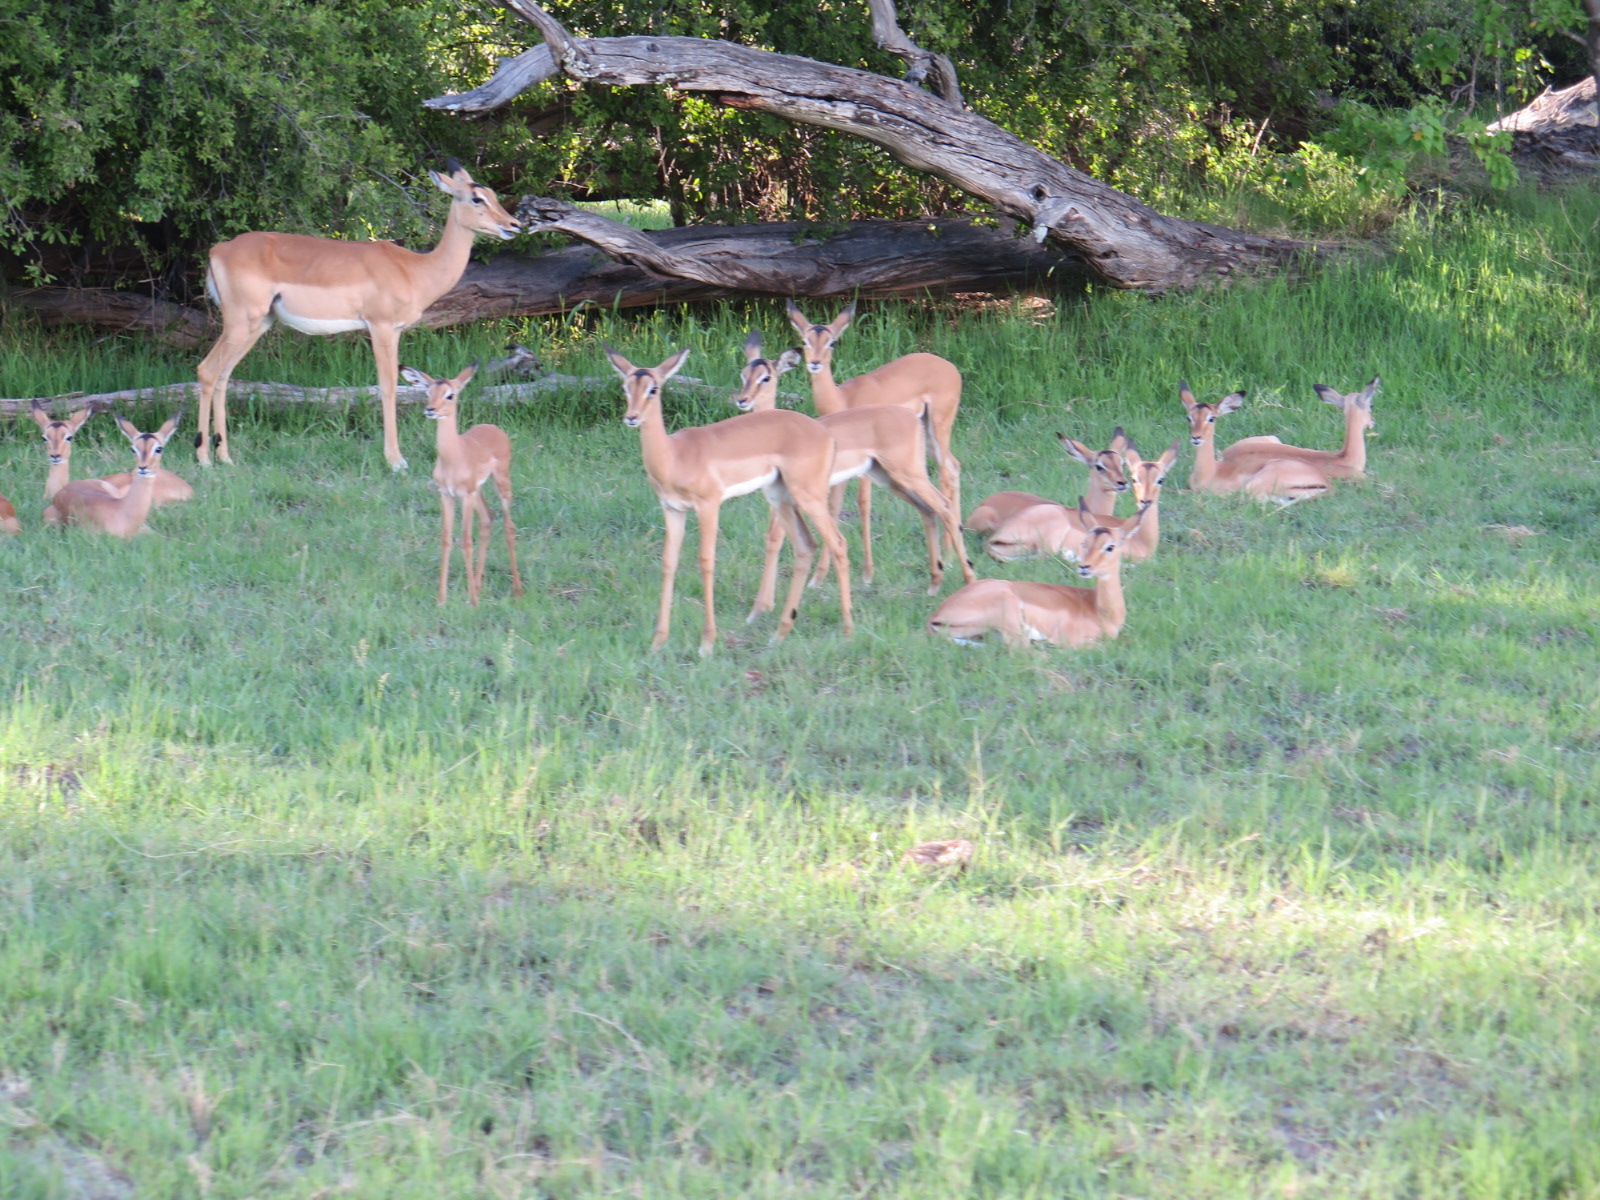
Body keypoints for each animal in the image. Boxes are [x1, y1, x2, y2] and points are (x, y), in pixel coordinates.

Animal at [196, 160, 522, 471]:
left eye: (493, 194)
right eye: (477, 198)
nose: (514, 224)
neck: (415, 270)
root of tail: (217, 250)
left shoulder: (395, 329)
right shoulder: (382, 327)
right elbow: (389, 387)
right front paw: (396, 461)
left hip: (257, 325)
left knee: (224, 375)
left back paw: (225, 457)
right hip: (240, 323)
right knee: (207, 370)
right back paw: (204, 458)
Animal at [399, 362, 523, 607]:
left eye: (450, 394)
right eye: (428, 392)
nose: (430, 410)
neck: (454, 457)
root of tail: (494, 427)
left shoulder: (464, 496)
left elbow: (466, 541)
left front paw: (473, 603)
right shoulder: (447, 495)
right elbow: (446, 540)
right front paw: (441, 600)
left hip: (500, 483)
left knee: (509, 526)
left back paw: (516, 590)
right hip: (478, 492)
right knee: (487, 518)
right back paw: (477, 585)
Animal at [607, 345, 854, 656]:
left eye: (654, 388)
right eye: (626, 386)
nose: (632, 417)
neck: (675, 455)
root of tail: (827, 435)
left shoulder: (709, 506)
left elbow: (706, 561)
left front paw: (707, 644)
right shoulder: (672, 509)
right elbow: (668, 562)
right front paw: (657, 643)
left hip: (807, 495)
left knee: (838, 543)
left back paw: (847, 631)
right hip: (781, 497)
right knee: (806, 545)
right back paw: (779, 634)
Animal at [730, 332, 974, 614]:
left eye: (766, 377)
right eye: (743, 374)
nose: (742, 400)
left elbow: (777, 538)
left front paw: (764, 605)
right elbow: (772, 539)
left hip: (911, 470)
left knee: (943, 504)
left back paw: (965, 579)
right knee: (935, 500)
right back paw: (935, 582)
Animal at [785, 300, 963, 556]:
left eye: (832, 342)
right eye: (805, 340)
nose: (815, 363)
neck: (842, 399)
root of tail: (950, 367)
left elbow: (863, 502)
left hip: (939, 427)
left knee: (945, 474)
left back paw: (948, 554)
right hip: (927, 434)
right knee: (954, 466)